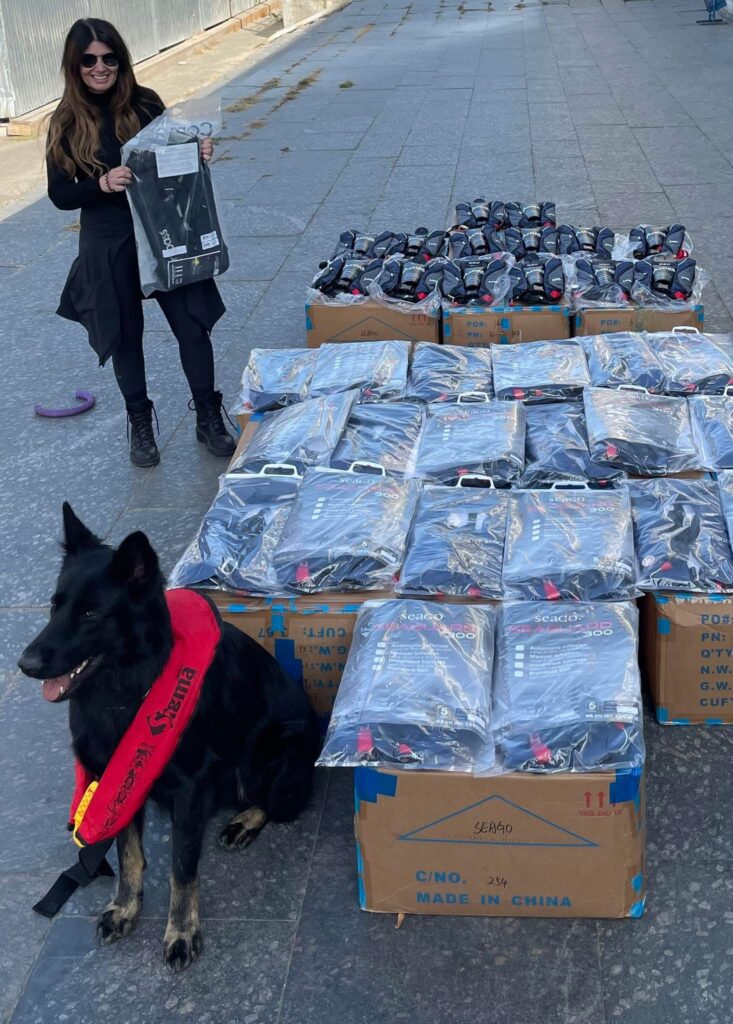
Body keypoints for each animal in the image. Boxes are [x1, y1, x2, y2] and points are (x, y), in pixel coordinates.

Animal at [18, 503, 321, 971]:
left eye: (90, 613)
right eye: (54, 606)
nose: (25, 664)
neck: (125, 691)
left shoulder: (190, 789)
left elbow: (182, 868)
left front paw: (180, 930)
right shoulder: (115, 778)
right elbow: (128, 853)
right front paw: (126, 905)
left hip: (268, 753)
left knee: (278, 802)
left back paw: (245, 820)